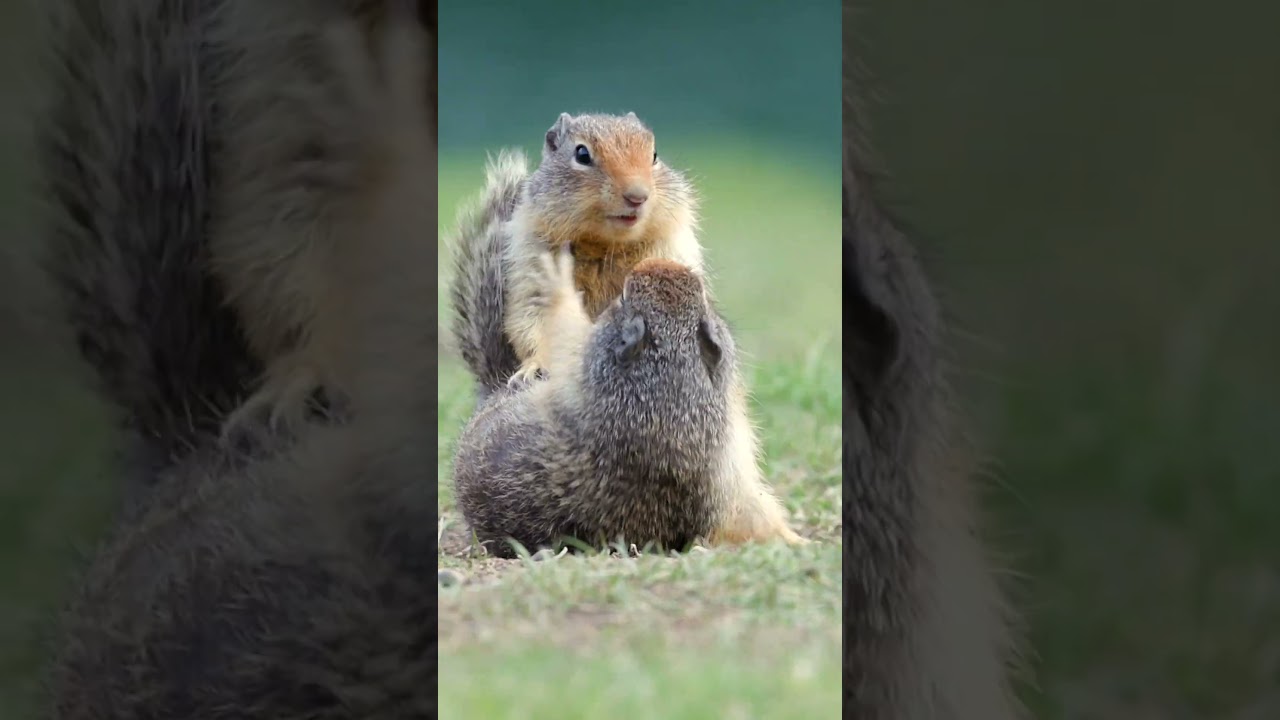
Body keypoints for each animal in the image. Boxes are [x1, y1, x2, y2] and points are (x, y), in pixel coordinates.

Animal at [450, 234, 805, 557]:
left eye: (622, 297)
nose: (658, 263)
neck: (671, 387)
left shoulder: (586, 354)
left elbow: (566, 331)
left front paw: (556, 279)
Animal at [488, 111, 707, 386]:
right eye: (582, 154)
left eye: (654, 155)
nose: (637, 196)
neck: (605, 244)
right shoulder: (534, 269)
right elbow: (537, 322)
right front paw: (535, 366)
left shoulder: (670, 250)